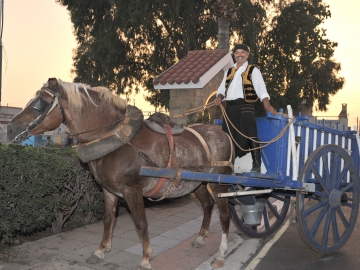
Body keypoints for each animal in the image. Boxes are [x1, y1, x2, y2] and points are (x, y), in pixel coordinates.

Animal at [7, 77, 236, 268]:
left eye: (39, 104)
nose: (9, 128)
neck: (115, 137)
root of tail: (221, 132)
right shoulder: (108, 190)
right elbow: (109, 219)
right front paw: (100, 250)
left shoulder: (132, 190)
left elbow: (140, 222)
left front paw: (146, 258)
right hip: (196, 183)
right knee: (207, 206)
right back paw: (200, 238)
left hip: (218, 183)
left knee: (224, 215)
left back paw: (221, 254)